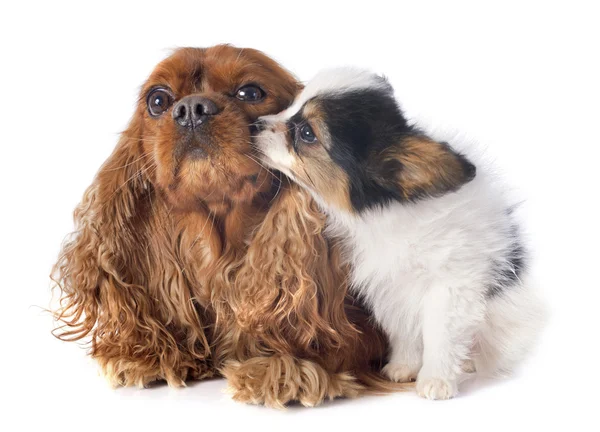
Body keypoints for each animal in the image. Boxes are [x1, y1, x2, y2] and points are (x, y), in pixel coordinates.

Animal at [52, 45, 398, 406]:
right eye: (158, 100)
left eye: (251, 92)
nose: (191, 109)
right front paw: (149, 354)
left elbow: (342, 343)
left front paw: (287, 364)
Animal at [255, 69, 548, 400]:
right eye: (291, 106)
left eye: (307, 133)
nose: (255, 123)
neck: (389, 212)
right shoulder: (391, 286)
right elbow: (403, 329)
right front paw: (404, 366)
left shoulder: (452, 287)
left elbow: (439, 335)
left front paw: (436, 379)